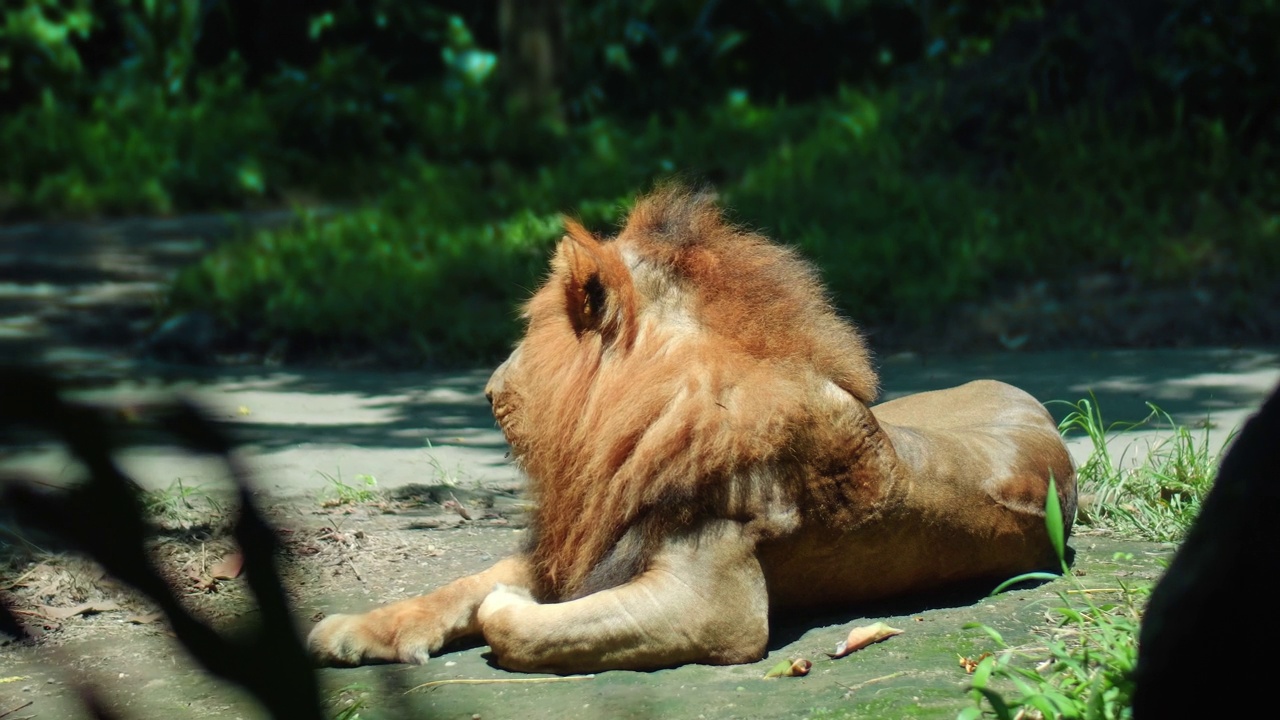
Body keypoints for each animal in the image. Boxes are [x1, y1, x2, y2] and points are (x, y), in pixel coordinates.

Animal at [309, 185, 1080, 671]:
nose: (488, 391)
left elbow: (512, 617)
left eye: (529, 336)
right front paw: (357, 630)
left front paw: (507, 608)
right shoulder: (593, 536)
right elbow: (460, 586)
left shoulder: (716, 608)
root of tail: (1027, 396)